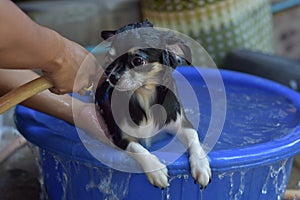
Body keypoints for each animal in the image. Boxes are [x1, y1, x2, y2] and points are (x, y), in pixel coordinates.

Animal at [95, 20, 211, 189]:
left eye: (137, 61)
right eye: (111, 58)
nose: (112, 77)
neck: (145, 97)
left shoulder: (182, 124)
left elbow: (193, 137)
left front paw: (201, 166)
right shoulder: (121, 138)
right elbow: (138, 148)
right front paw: (156, 169)